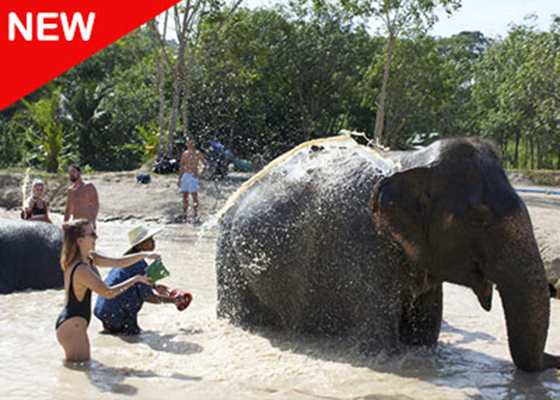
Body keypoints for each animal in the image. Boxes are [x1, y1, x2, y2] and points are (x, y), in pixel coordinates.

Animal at [217, 135, 560, 372]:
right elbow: (382, 342)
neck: (411, 164)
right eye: (479, 218)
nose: (554, 358)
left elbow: (424, 335)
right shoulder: (362, 243)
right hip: (229, 257)